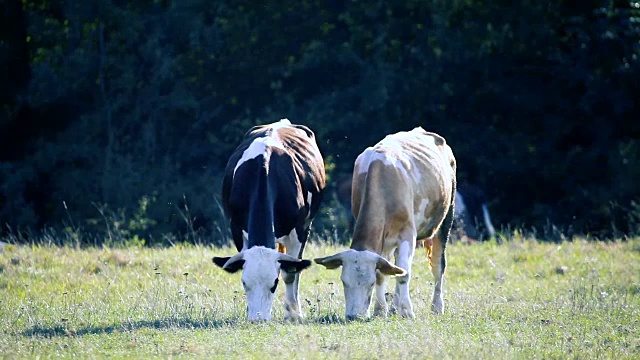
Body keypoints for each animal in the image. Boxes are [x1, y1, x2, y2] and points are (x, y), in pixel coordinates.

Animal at [214, 119, 328, 322]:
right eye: (244, 283)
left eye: (274, 283)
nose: (258, 319)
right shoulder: (236, 227)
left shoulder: (299, 229)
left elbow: (290, 273)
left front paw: (293, 314)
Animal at [316, 128, 456, 320]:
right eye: (344, 281)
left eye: (370, 283)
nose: (354, 316)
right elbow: (385, 272)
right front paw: (380, 311)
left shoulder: (407, 234)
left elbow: (404, 273)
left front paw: (407, 311)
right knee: (395, 266)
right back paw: (394, 307)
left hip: (446, 217)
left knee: (437, 265)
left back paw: (437, 306)